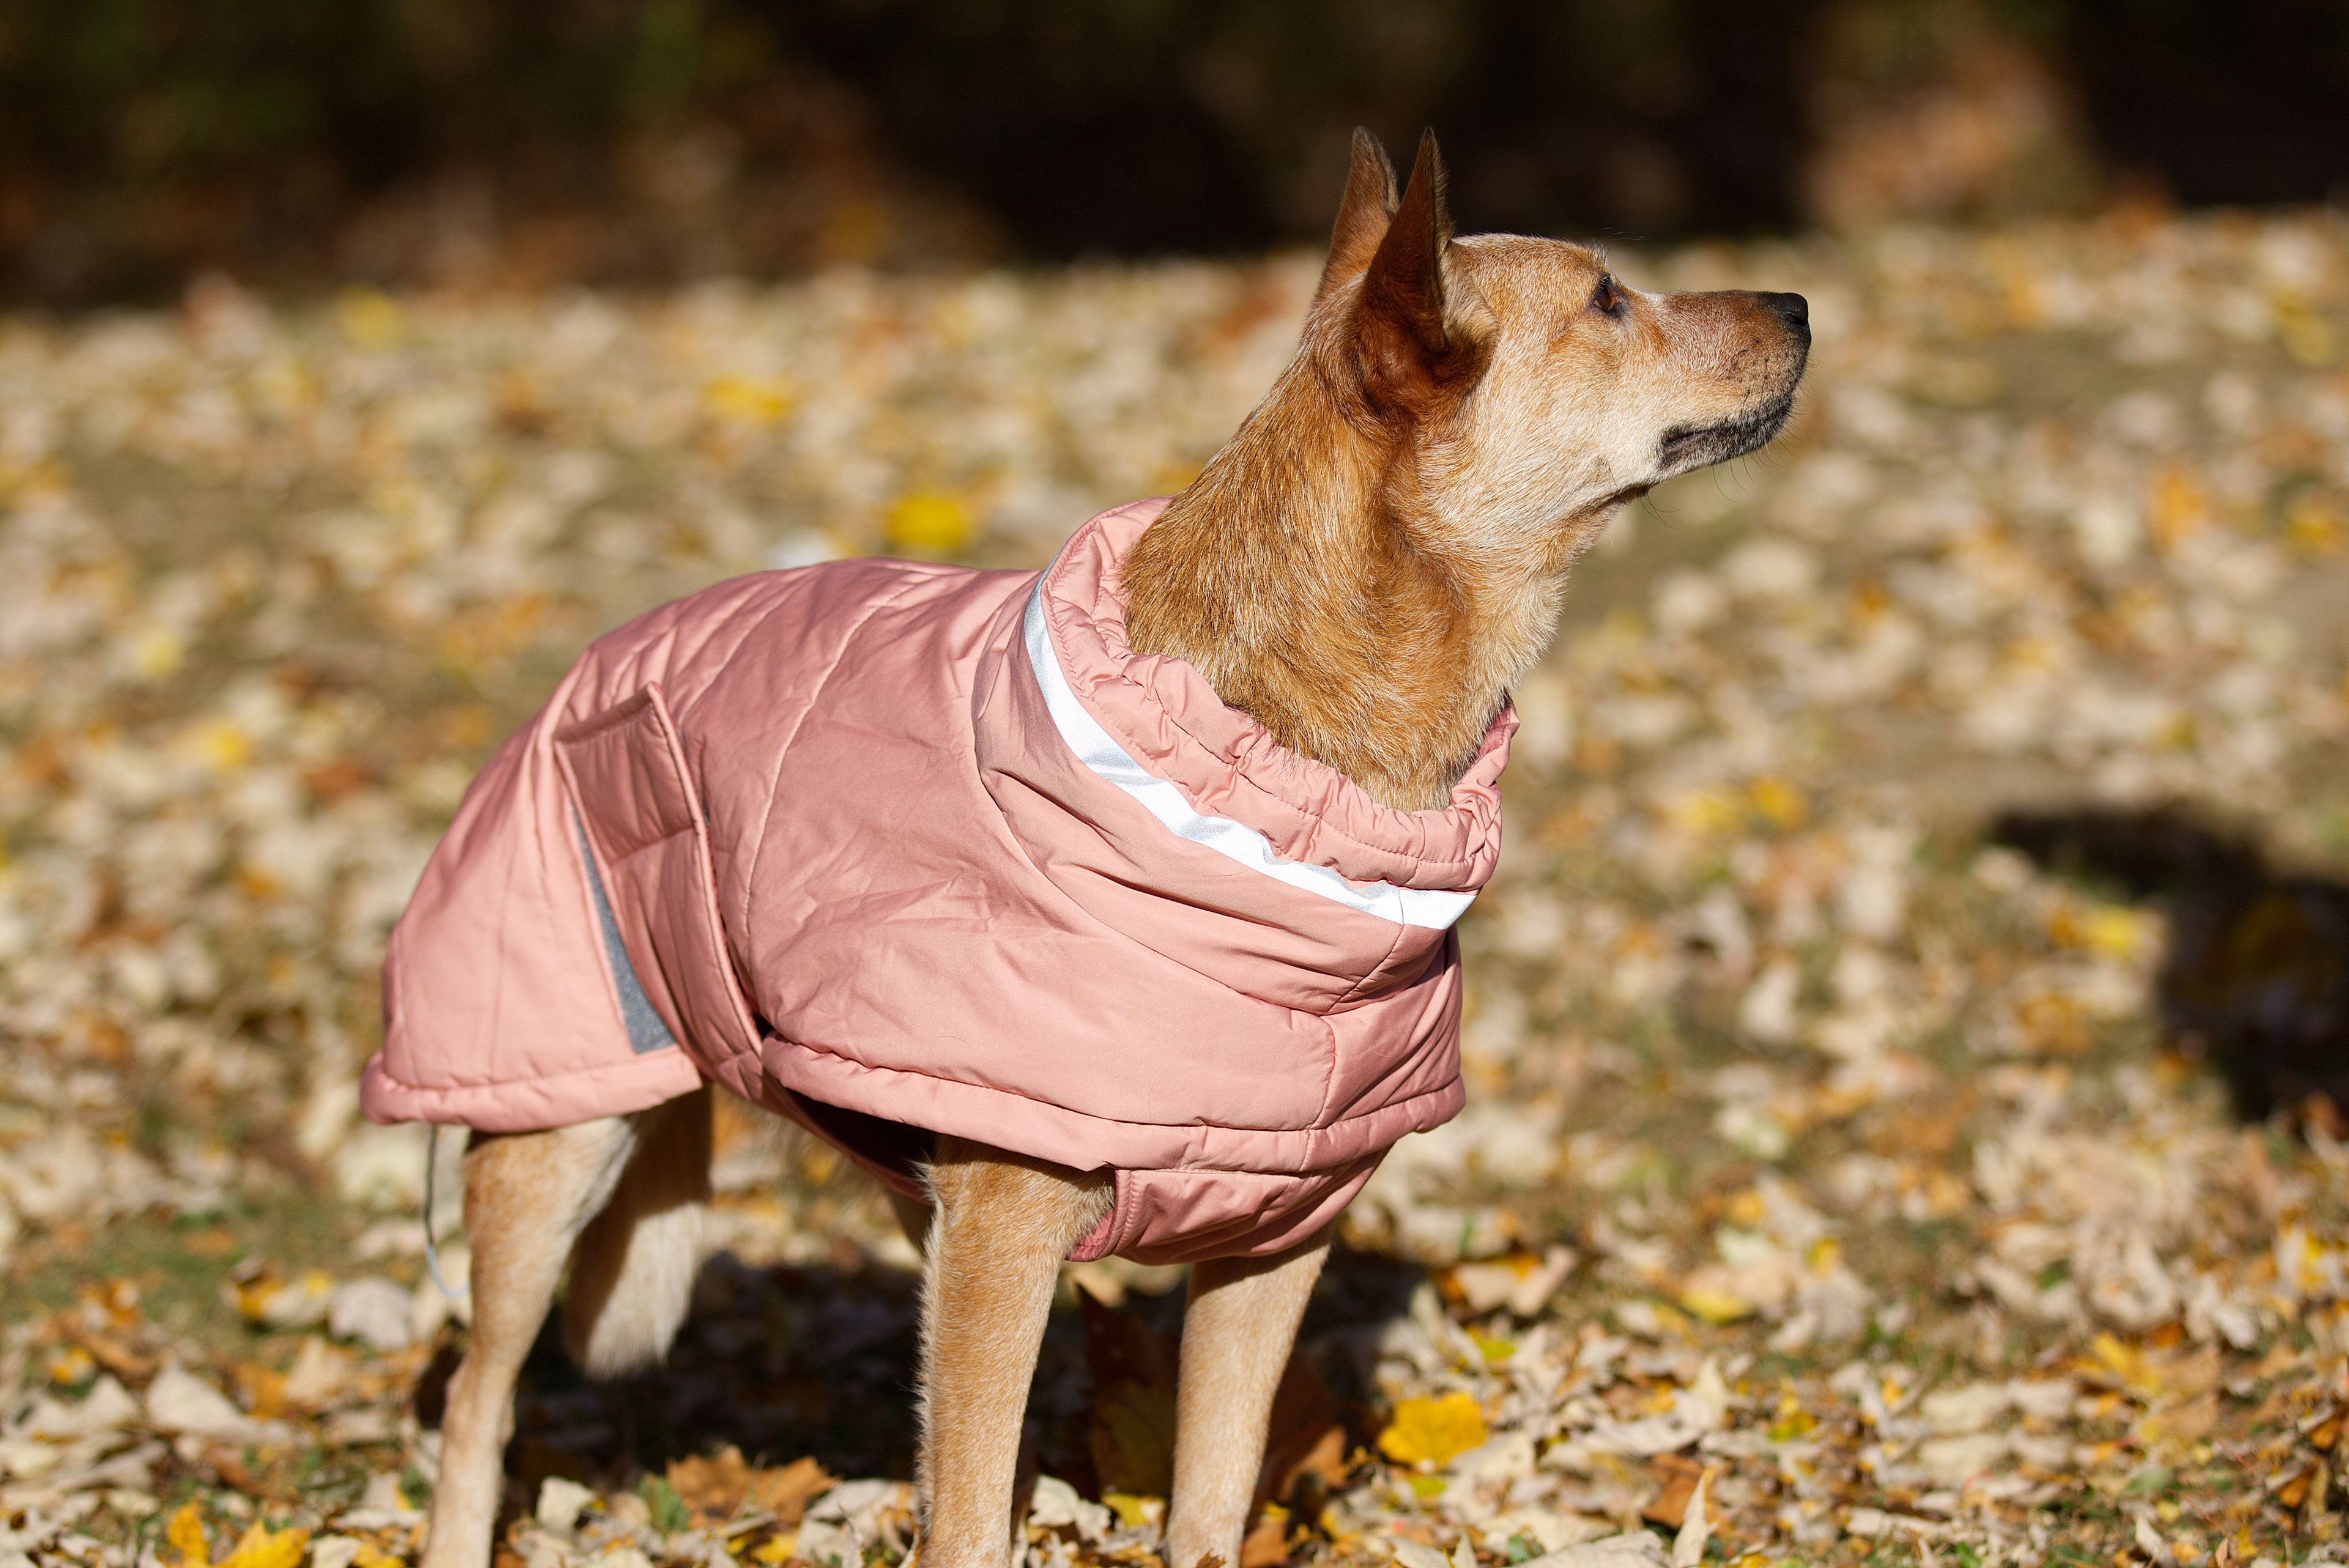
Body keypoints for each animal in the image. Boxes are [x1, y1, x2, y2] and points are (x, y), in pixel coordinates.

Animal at [390, 131, 1813, 1568]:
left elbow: (1207, 1499)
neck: (1270, 775)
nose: (1802, 303)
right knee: (480, 1394)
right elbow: (965, 1524)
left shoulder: (1269, 1238)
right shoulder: (1006, 1232)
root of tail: (600, 656)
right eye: (1610, 299)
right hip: (557, 1135)